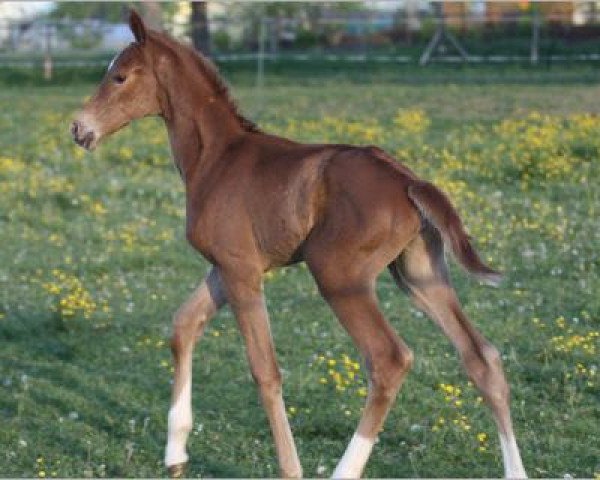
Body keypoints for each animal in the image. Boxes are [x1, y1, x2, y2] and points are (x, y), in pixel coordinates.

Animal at [72, 11, 528, 480]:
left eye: (120, 76)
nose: (79, 128)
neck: (215, 157)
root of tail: (408, 181)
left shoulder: (240, 271)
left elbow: (264, 369)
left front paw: (290, 468)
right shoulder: (226, 268)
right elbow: (183, 326)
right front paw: (176, 453)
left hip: (339, 276)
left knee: (389, 359)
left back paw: (345, 469)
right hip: (420, 274)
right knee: (482, 357)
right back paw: (516, 470)